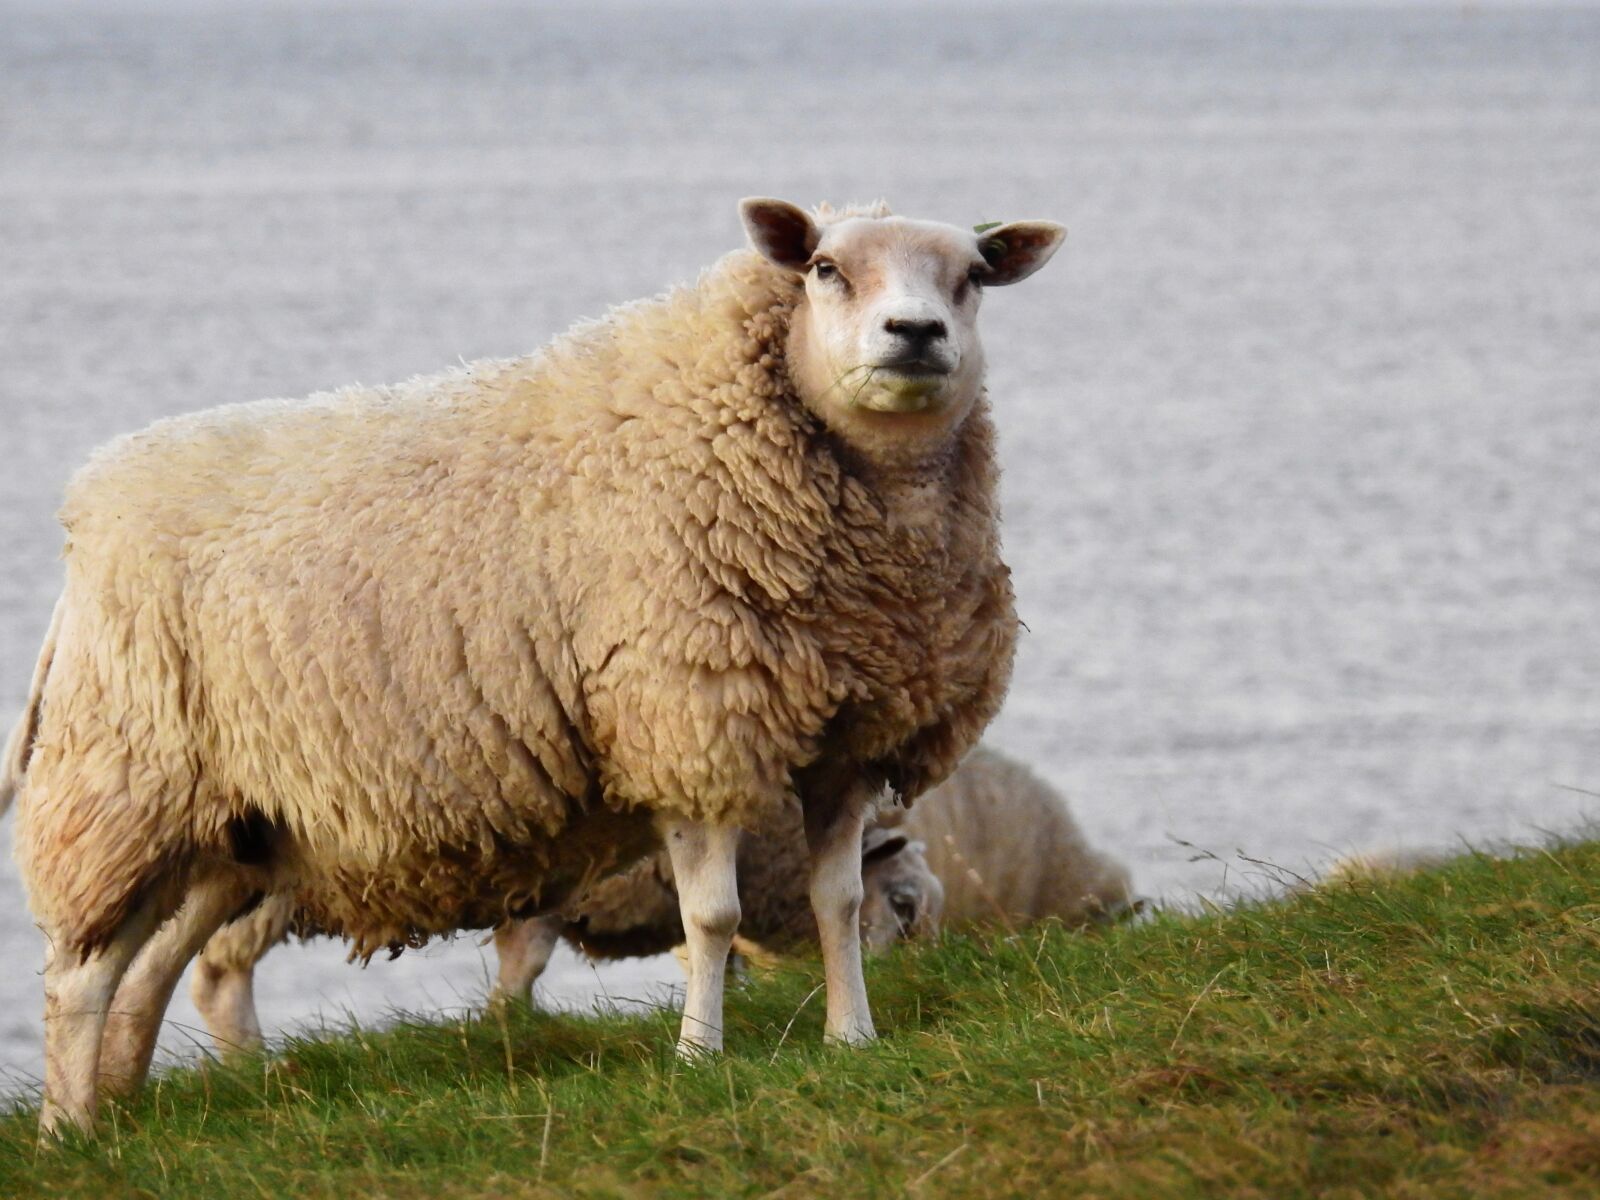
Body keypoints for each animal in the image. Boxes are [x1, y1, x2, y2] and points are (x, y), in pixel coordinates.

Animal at [190, 811, 943, 1055]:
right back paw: (251, 1065)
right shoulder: (553, 889)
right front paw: (505, 1021)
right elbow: (524, 963)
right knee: (218, 978)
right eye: (903, 906)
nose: (916, 975)